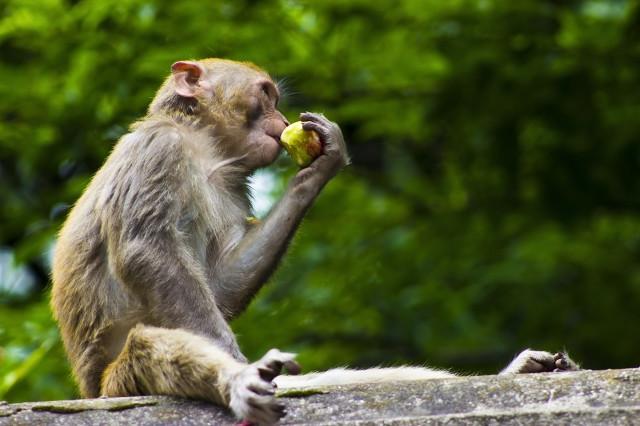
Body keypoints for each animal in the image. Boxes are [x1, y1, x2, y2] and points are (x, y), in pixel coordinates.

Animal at [51, 58, 580, 424]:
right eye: (265, 95)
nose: (280, 116)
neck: (203, 147)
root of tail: (88, 389)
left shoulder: (230, 187)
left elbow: (221, 285)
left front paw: (321, 168)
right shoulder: (158, 150)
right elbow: (146, 251)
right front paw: (236, 361)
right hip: (116, 387)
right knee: (145, 346)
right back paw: (240, 381)